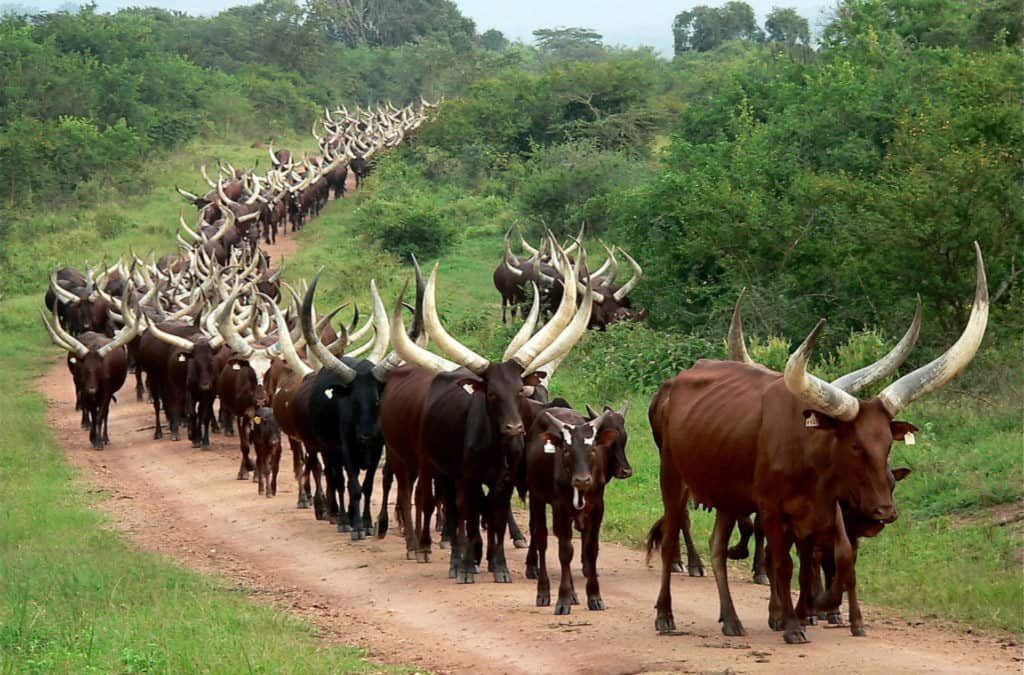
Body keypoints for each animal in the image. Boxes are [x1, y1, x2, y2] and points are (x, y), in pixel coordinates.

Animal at [523, 404, 632, 614]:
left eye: (592, 449)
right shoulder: (561, 508)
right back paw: (544, 591)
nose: (582, 480)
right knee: (541, 540)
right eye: (566, 451)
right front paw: (563, 598)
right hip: (537, 499)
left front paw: (594, 596)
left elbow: (591, 550)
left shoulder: (597, 508)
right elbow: (565, 552)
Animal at [645, 244, 987, 644]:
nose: (885, 511)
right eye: (854, 445)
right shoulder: (772, 509)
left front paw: (814, 608)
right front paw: (794, 624)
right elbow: (784, 562)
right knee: (671, 539)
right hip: (673, 480)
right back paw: (665, 615)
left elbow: (831, 559)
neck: (809, 458)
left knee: (717, 548)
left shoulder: (821, 511)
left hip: (727, 495)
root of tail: (674, 384)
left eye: (888, 444)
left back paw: (731, 619)